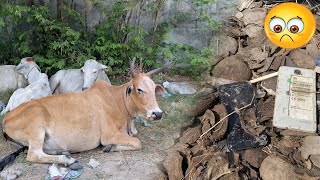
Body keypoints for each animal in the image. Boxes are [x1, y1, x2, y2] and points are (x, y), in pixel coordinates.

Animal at [1, 61, 170, 169]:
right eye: (139, 89)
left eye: (154, 88)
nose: (157, 113)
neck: (118, 101)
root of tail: (6, 119)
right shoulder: (108, 135)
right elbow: (137, 142)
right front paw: (110, 147)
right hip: (37, 128)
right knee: (33, 154)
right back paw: (68, 161)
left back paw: (64, 152)